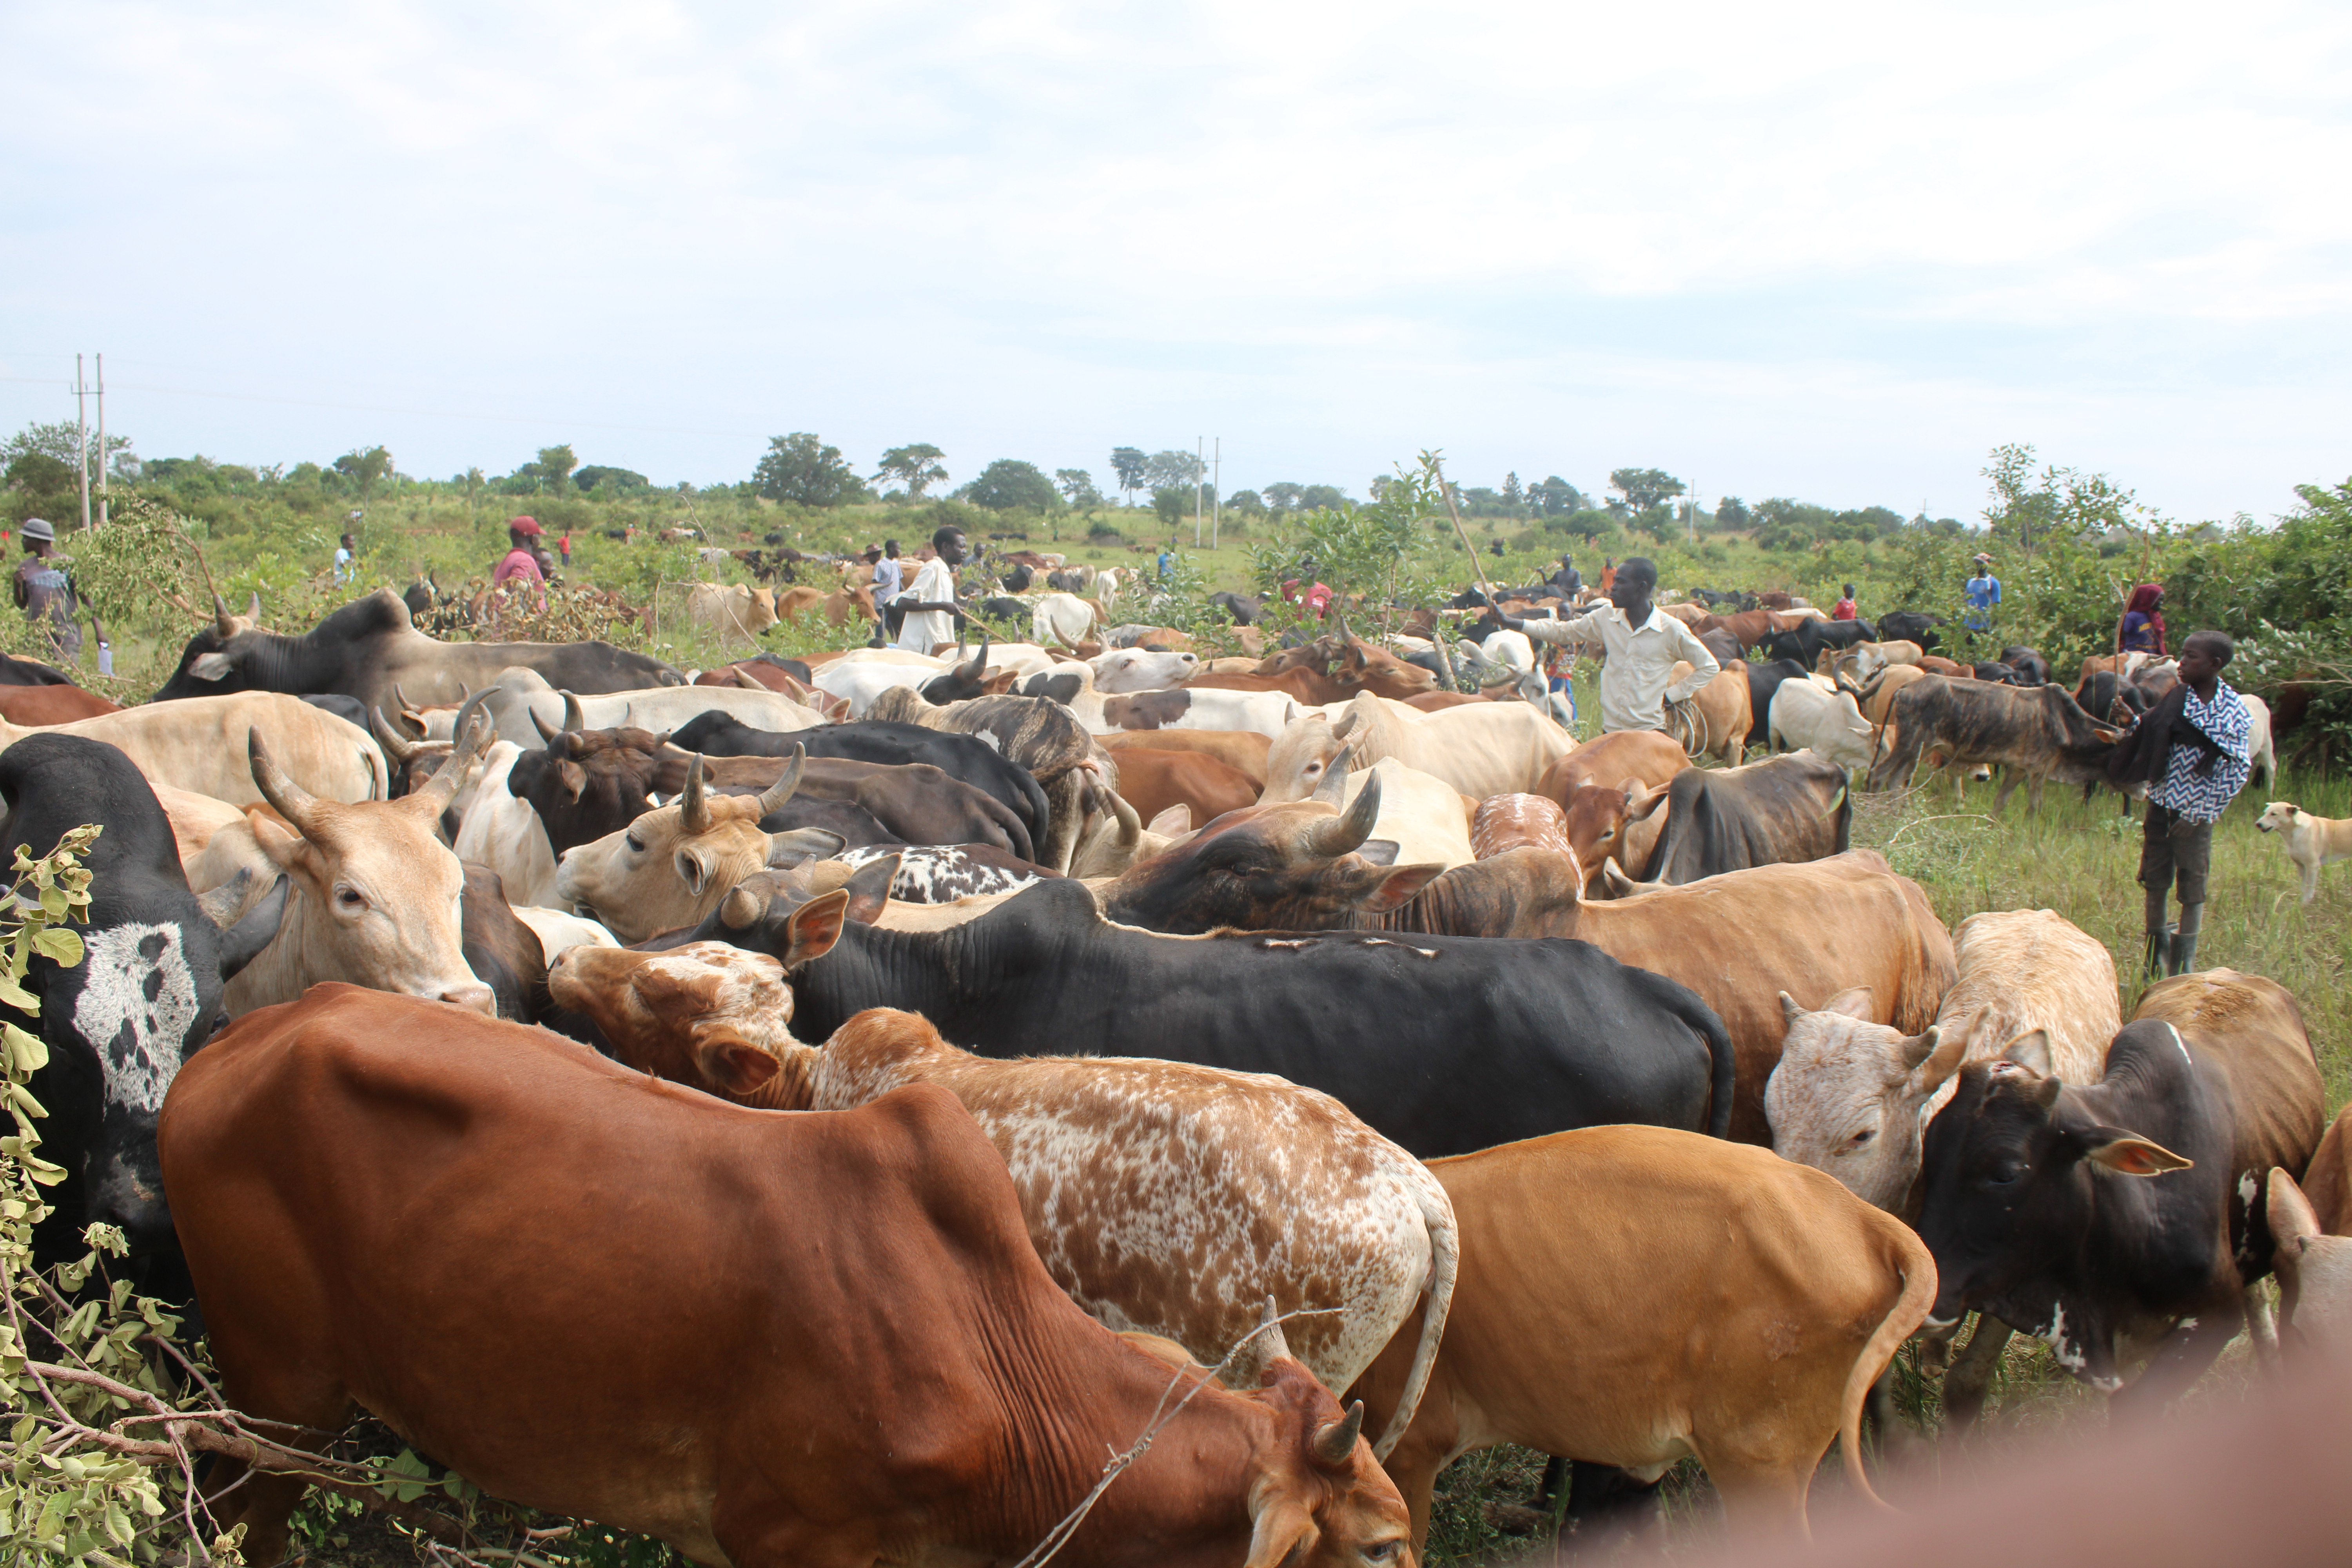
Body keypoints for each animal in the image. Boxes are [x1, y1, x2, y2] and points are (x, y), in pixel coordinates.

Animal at [1868, 677, 2127, 814]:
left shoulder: (2019, 768)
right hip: (1910, 743)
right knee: (1879, 774)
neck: (2065, 721)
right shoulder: (2038, 770)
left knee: (1896, 780)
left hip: (1919, 749)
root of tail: (1906, 688)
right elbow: (2035, 807)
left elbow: (2001, 802)